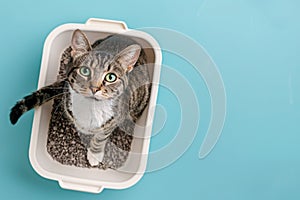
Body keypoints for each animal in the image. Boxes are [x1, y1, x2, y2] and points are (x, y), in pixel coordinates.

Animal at [10, 28, 151, 168]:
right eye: (85, 71)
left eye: (111, 77)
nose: (94, 88)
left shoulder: (113, 120)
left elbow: (100, 137)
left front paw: (95, 153)